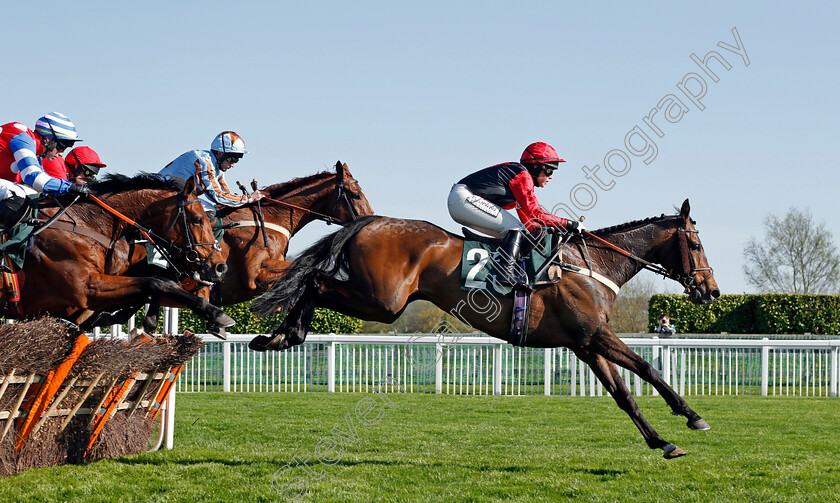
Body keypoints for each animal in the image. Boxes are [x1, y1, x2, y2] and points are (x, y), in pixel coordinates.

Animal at [251, 199, 720, 458]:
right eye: (696, 243)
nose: (711, 291)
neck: (591, 266)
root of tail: (372, 220)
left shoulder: (584, 344)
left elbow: (624, 395)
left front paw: (662, 442)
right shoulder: (595, 335)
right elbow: (649, 369)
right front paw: (692, 416)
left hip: (380, 299)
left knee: (314, 281)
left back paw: (277, 336)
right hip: (383, 300)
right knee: (315, 281)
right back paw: (284, 334)